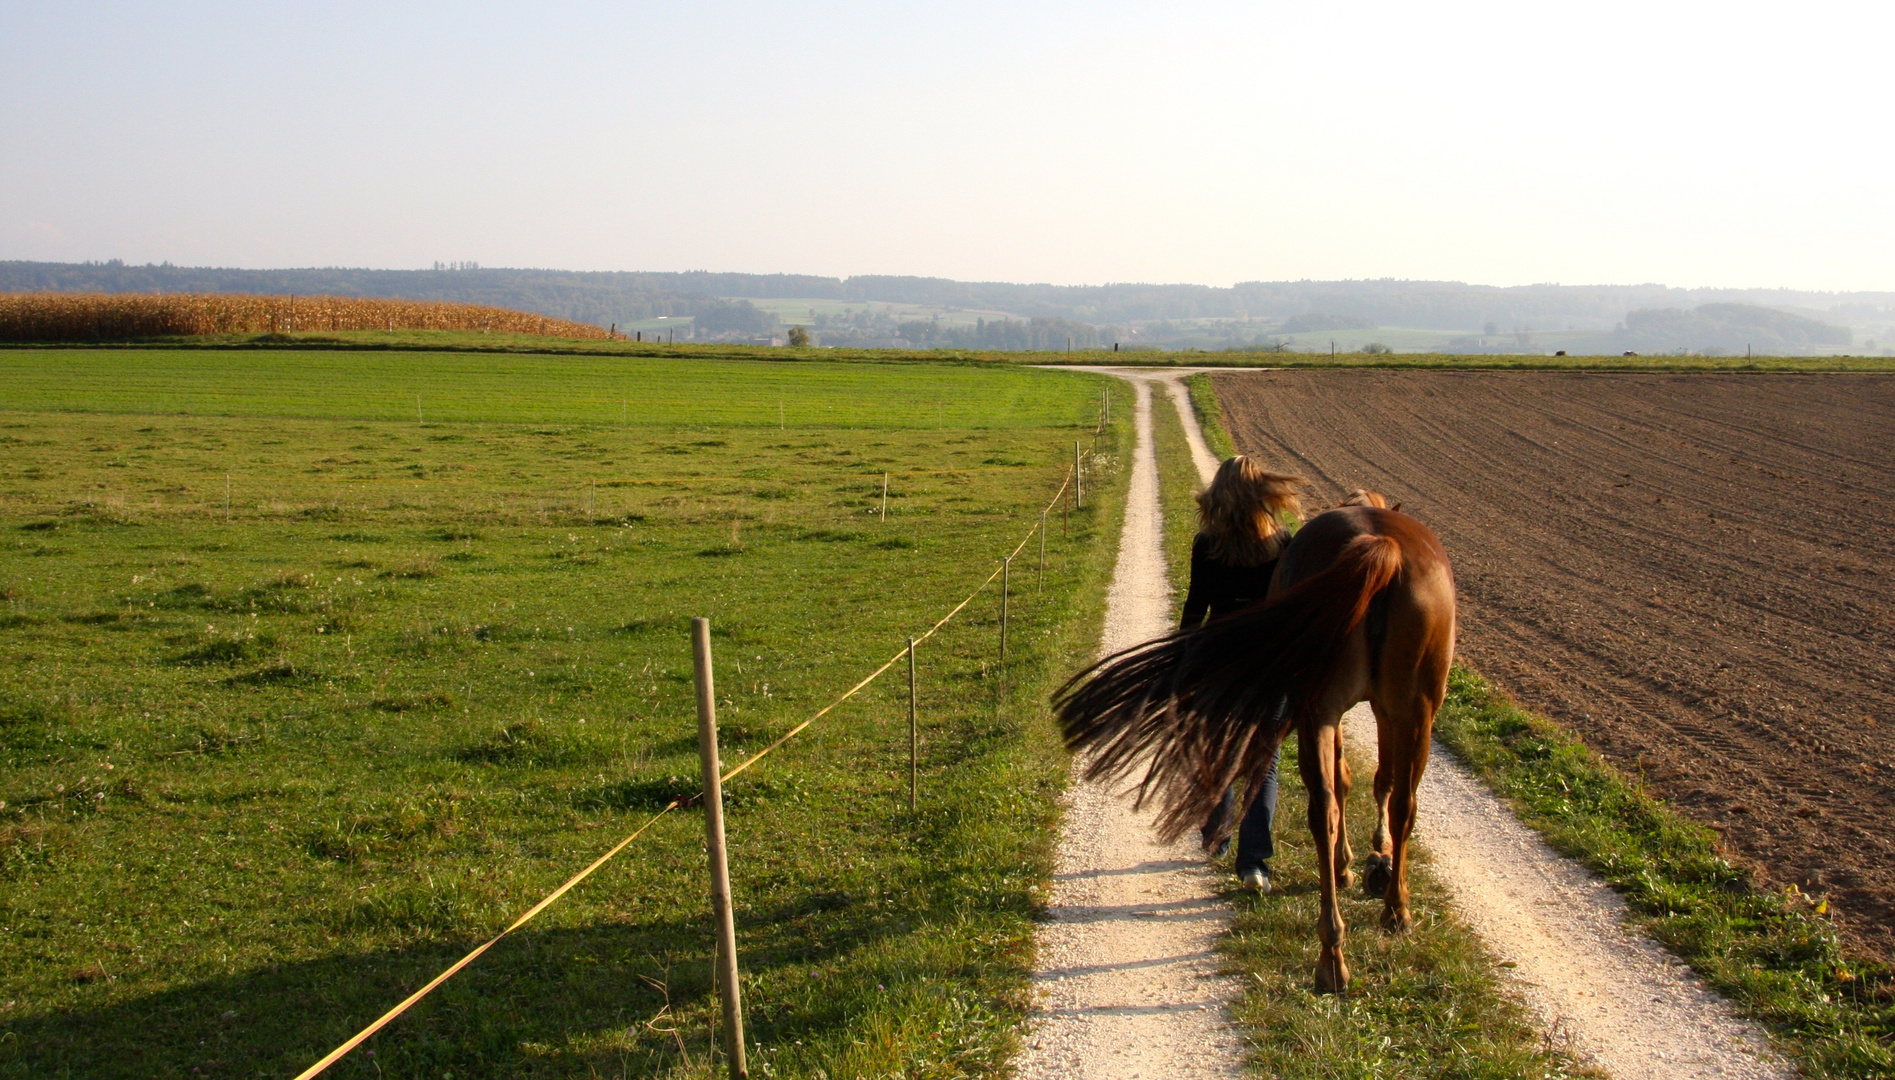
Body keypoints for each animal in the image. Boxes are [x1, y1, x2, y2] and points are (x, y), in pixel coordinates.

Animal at [1061, 492, 1455, 985]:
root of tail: (1382, 547)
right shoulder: (1376, 711)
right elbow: (1369, 779)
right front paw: (1364, 862)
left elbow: (1365, 782)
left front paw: (1365, 863)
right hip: (1383, 710)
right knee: (1379, 803)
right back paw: (1379, 921)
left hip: (1368, 711)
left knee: (1348, 806)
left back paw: (1344, 943)